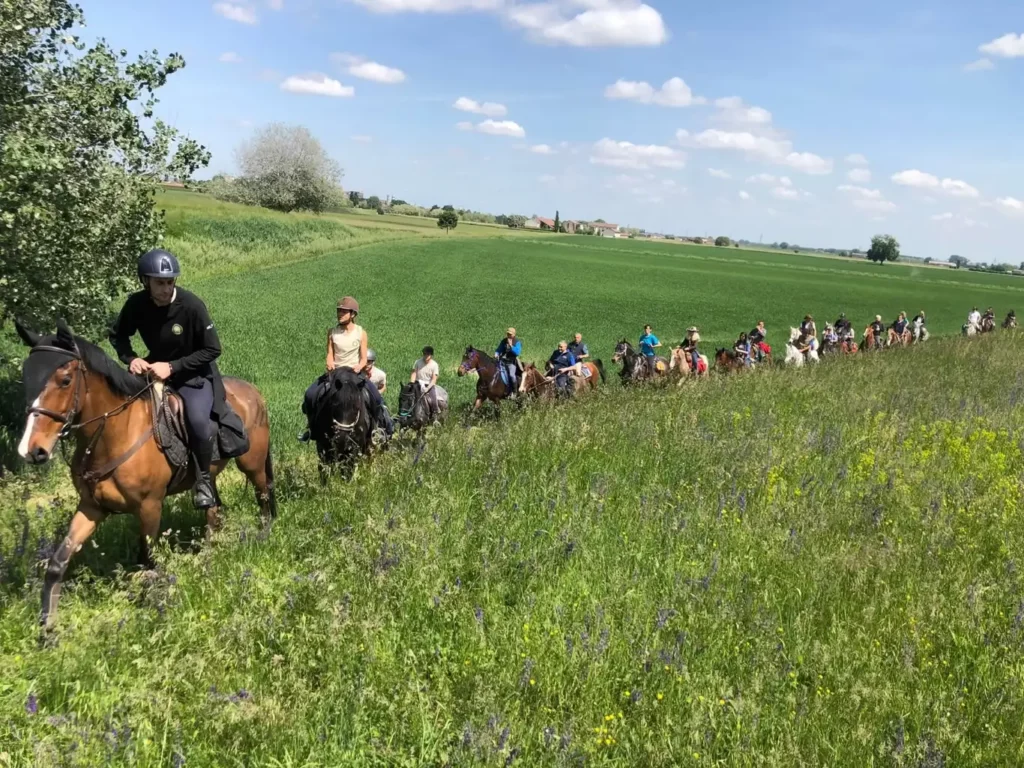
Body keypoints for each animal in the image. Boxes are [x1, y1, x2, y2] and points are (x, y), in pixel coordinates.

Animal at [15, 319, 276, 632]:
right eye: (27, 376)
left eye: (65, 380)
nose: (32, 450)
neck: (115, 435)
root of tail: (253, 392)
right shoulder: (91, 507)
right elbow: (57, 562)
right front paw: (47, 628)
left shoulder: (150, 506)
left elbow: (150, 562)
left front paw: (157, 609)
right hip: (210, 475)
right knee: (213, 512)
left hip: (253, 464)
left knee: (263, 498)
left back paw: (263, 535)